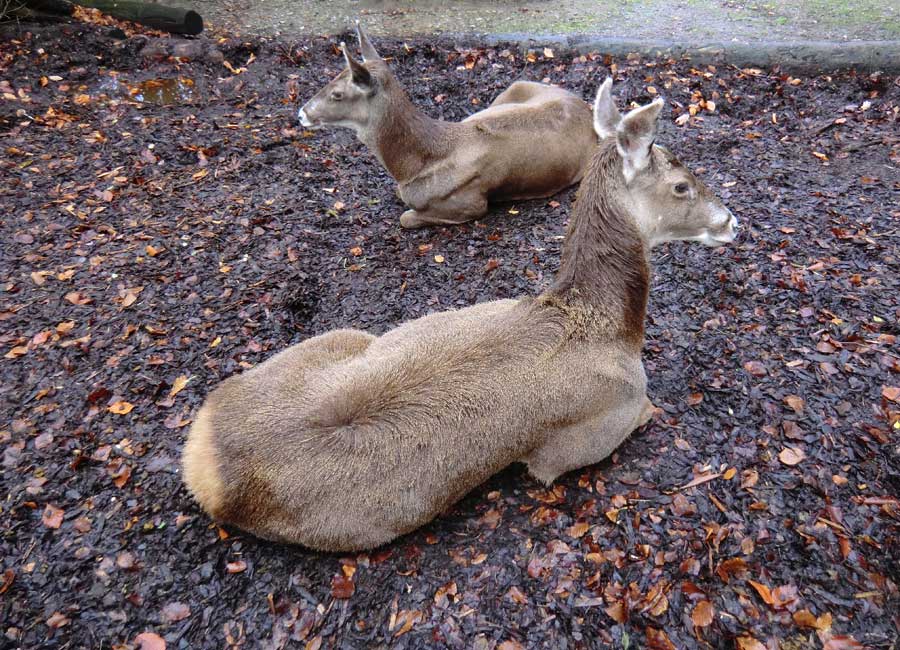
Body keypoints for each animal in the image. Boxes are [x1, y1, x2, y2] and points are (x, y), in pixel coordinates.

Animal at [185, 78, 740, 548]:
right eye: (682, 185)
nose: (732, 221)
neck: (608, 326)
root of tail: (202, 464)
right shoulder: (588, 433)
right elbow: (647, 411)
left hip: (342, 336)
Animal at [298, 23, 600, 228]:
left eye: (337, 94)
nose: (301, 114)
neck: (410, 170)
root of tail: (585, 106)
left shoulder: (472, 203)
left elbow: (406, 217)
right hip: (511, 90)